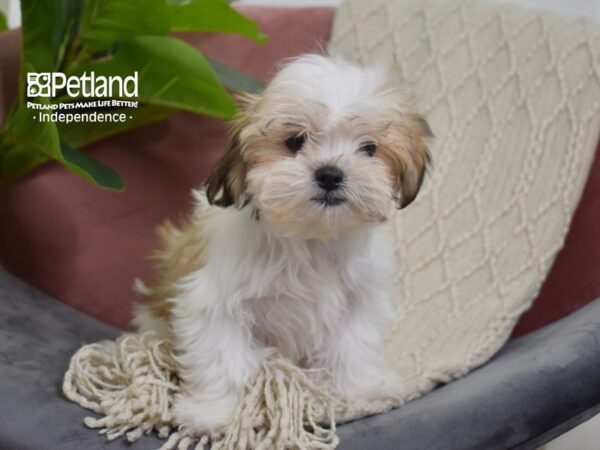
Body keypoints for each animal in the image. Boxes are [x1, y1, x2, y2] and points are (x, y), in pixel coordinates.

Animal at [132, 54, 432, 434]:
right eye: (294, 141)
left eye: (369, 148)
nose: (330, 173)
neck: (310, 237)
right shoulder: (215, 304)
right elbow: (223, 359)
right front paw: (214, 413)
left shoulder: (359, 299)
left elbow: (354, 346)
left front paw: (362, 390)